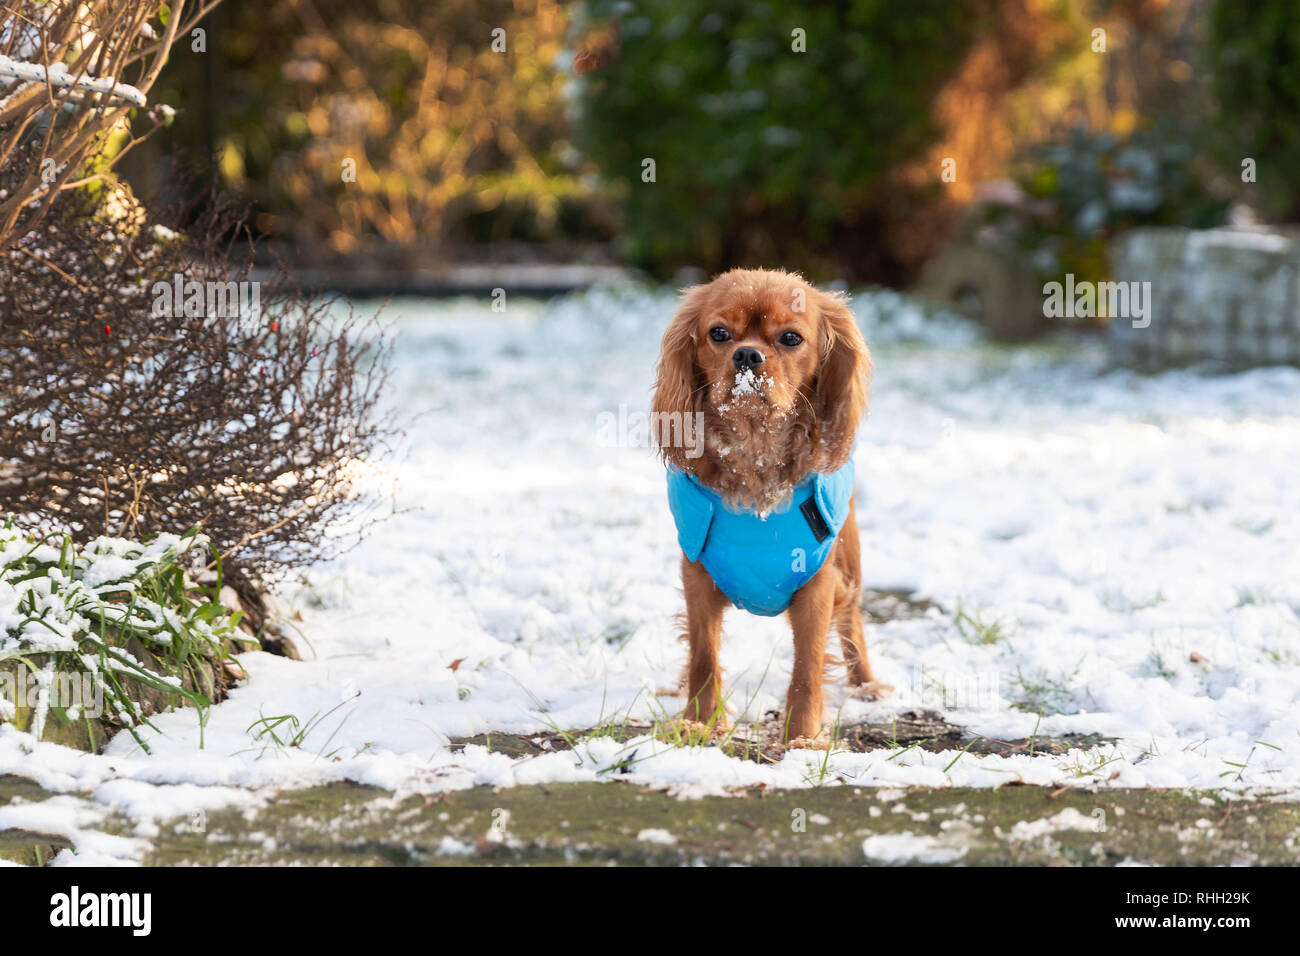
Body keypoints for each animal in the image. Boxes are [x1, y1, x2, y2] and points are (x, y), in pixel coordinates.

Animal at [655, 267, 889, 749]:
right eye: (719, 333)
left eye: (791, 338)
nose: (747, 354)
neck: (754, 449)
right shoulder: (697, 575)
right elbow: (703, 656)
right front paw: (699, 725)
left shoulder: (818, 582)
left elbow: (807, 666)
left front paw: (801, 737)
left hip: (850, 559)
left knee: (853, 622)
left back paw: (866, 686)